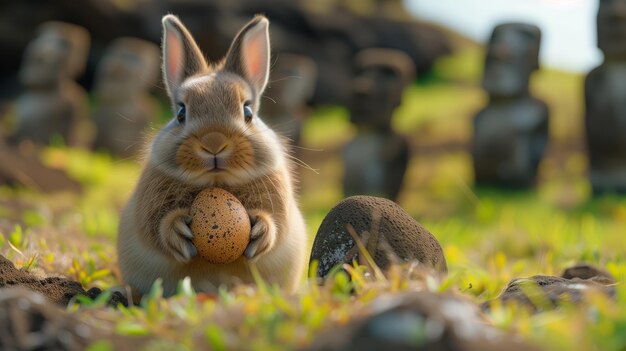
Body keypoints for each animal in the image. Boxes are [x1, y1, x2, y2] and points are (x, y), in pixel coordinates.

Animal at [116, 15, 308, 298]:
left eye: (247, 111)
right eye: (181, 113)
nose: (214, 143)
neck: (216, 182)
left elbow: (276, 224)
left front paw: (260, 232)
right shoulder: (149, 203)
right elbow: (156, 226)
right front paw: (179, 232)